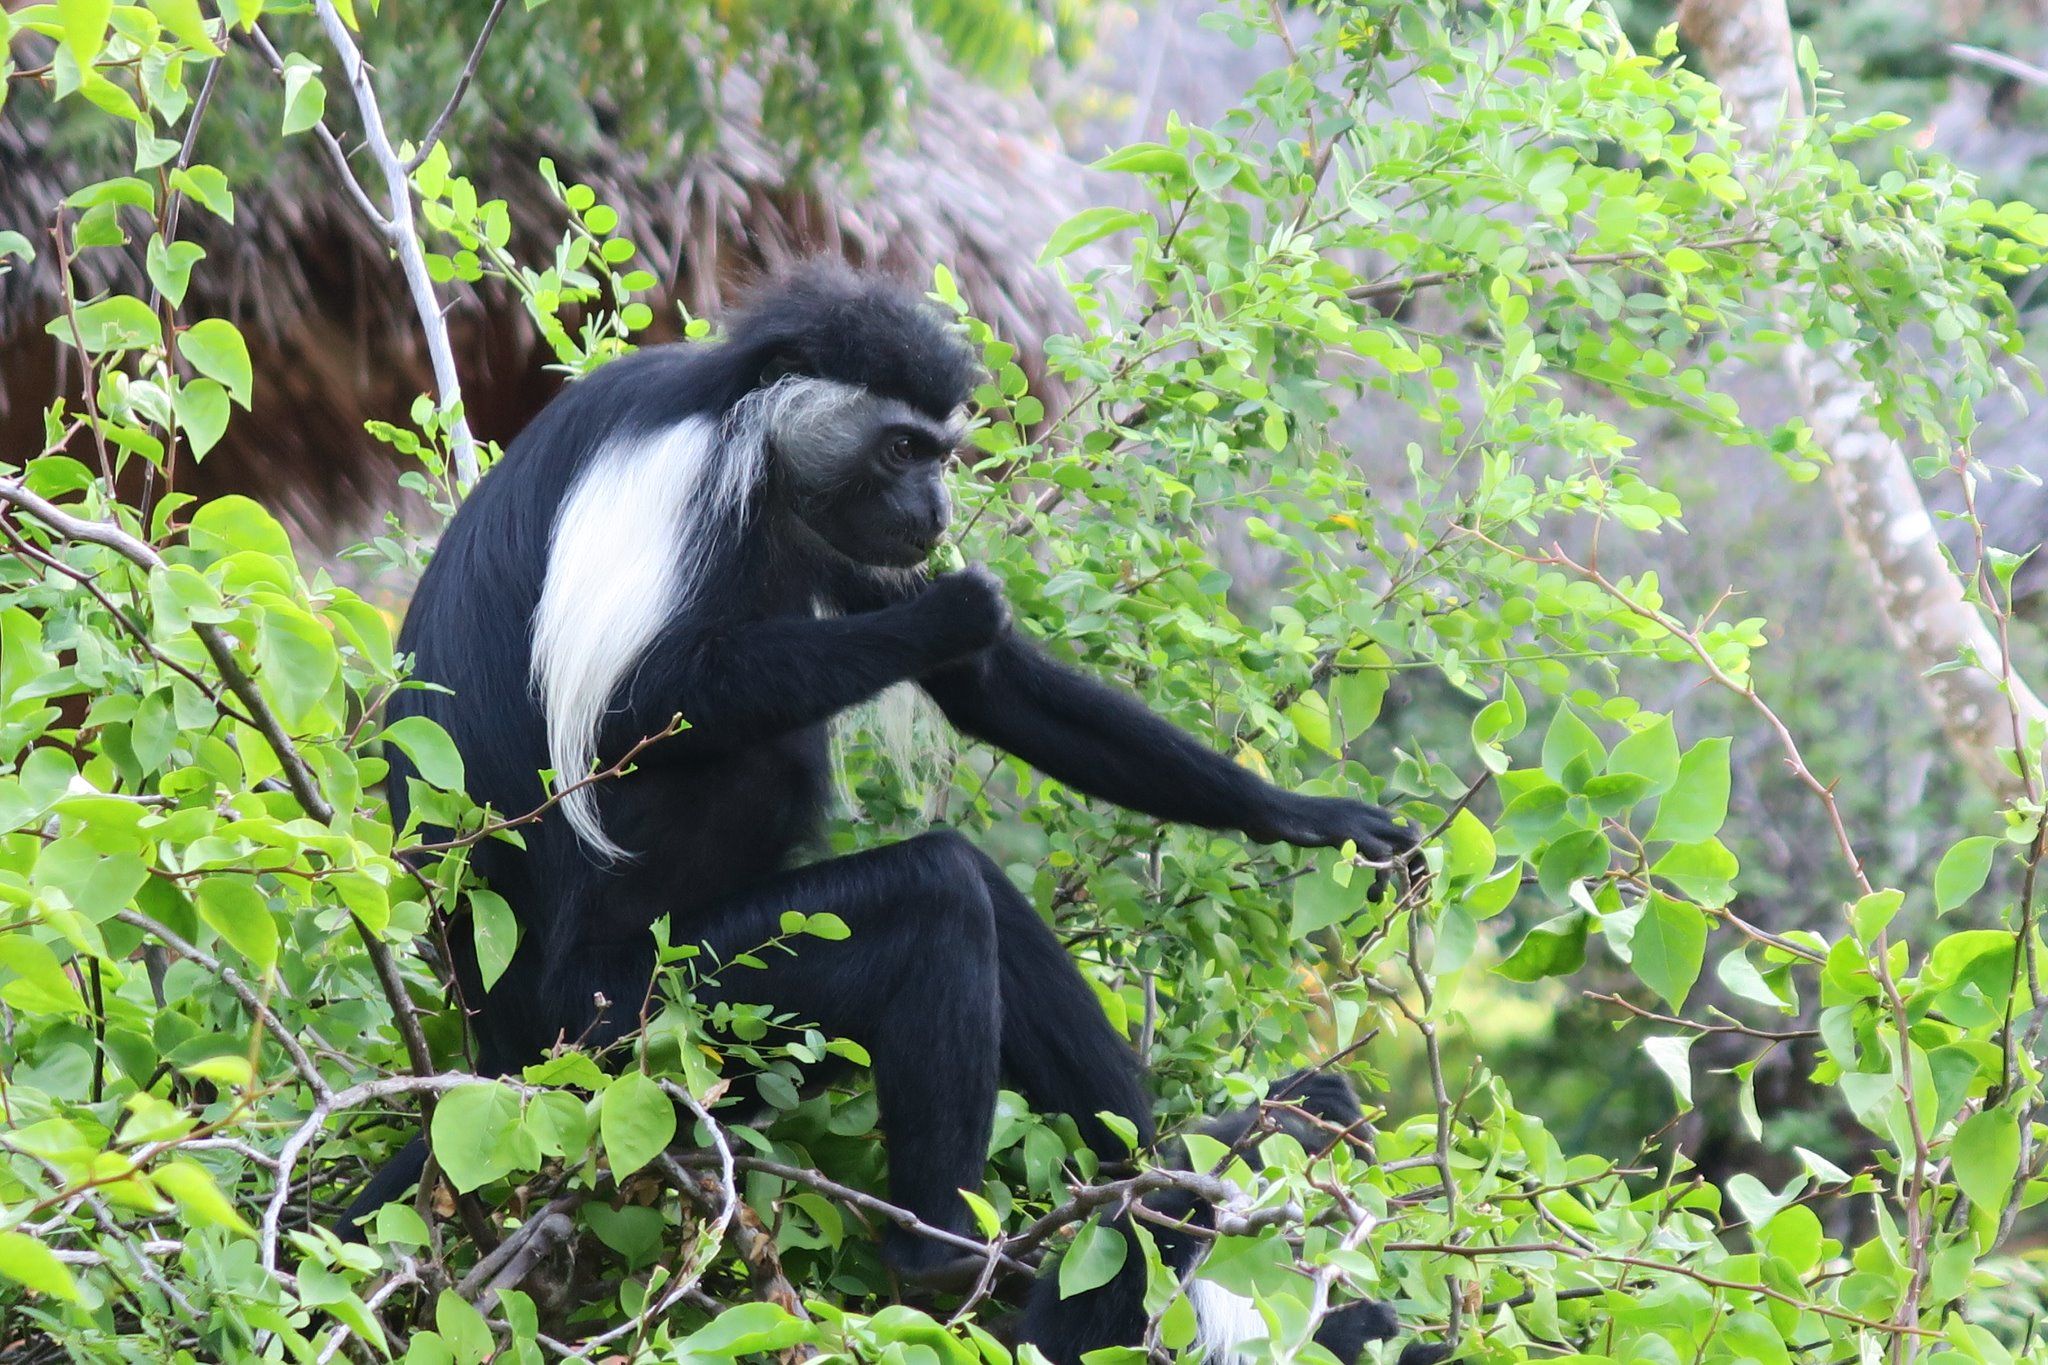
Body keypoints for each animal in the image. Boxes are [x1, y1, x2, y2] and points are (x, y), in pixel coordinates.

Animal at [344, 261, 1417, 1285]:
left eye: (939, 454)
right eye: (903, 449)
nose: (937, 508)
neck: (757, 442)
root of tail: (499, 1041)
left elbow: (989, 687)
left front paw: (1317, 819)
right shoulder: (686, 480)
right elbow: (640, 706)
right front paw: (954, 610)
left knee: (975, 891)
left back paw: (1177, 1166)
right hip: (646, 1008)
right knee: (928, 891)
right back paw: (945, 1257)